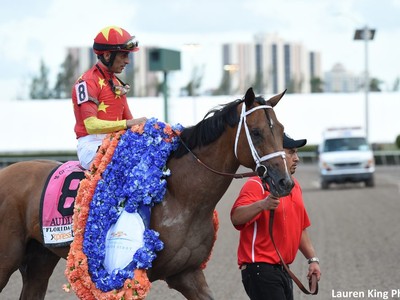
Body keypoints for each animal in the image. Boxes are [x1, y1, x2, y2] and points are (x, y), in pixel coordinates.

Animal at [0, 88, 294, 298]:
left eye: (281, 130)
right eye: (256, 132)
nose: (284, 182)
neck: (181, 197)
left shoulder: (188, 274)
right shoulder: (128, 279)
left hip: (39, 260)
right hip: (7, 259)